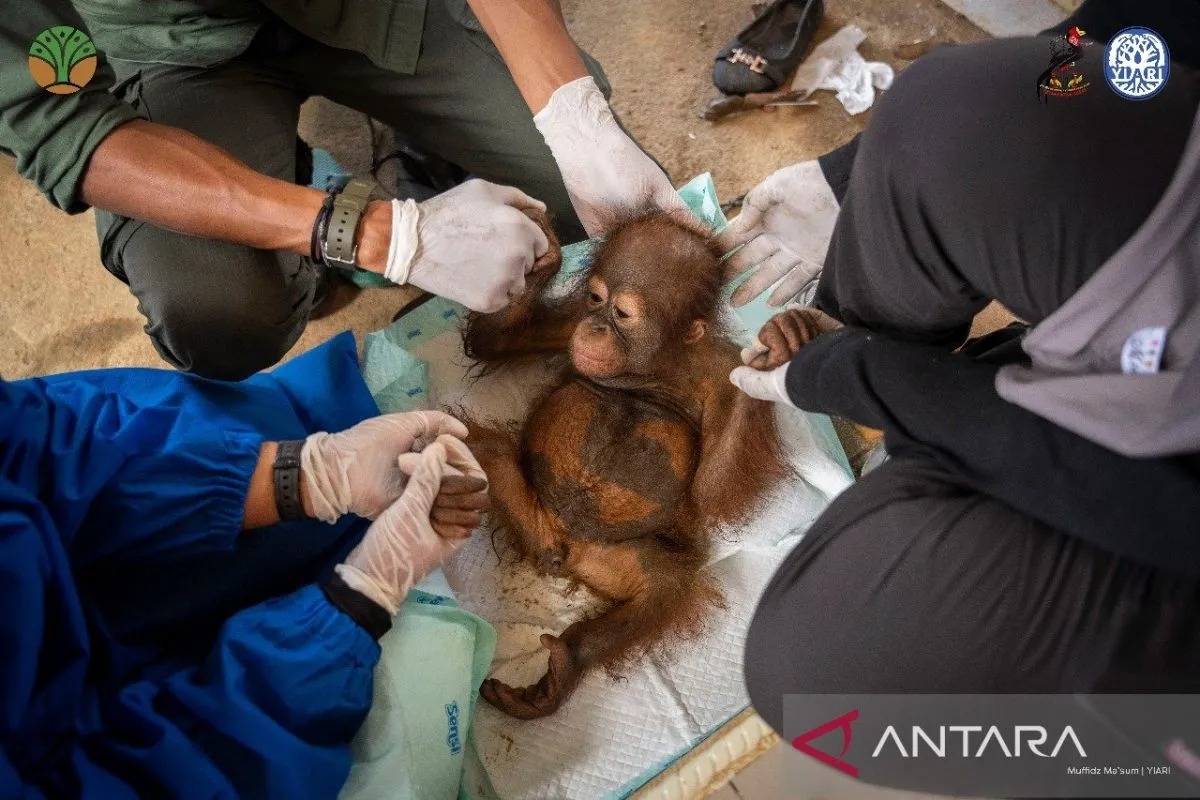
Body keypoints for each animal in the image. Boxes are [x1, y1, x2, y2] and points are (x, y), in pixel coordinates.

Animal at [460, 209, 788, 719]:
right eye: (596, 299)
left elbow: (711, 492)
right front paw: (543, 257)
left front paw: (774, 358)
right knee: (481, 451)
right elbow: (500, 341)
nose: (595, 327)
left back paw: (564, 665)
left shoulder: (720, 370)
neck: (654, 365)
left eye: (623, 314)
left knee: (663, 585)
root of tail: (561, 544)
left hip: (609, 555)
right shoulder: (571, 322)